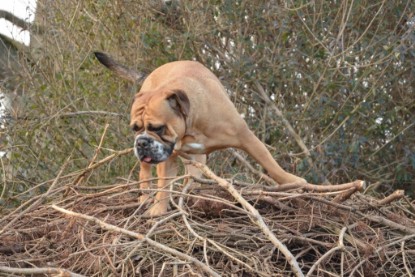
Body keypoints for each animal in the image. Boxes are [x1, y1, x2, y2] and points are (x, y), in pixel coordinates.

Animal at [96, 51, 308, 216]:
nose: (141, 142)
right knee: (145, 174)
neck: (190, 124)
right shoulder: (167, 156)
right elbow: (163, 184)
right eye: (135, 128)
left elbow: (270, 163)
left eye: (157, 127)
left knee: (192, 176)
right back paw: (145, 197)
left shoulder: (245, 137)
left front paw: (292, 182)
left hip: (198, 158)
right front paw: (158, 209)